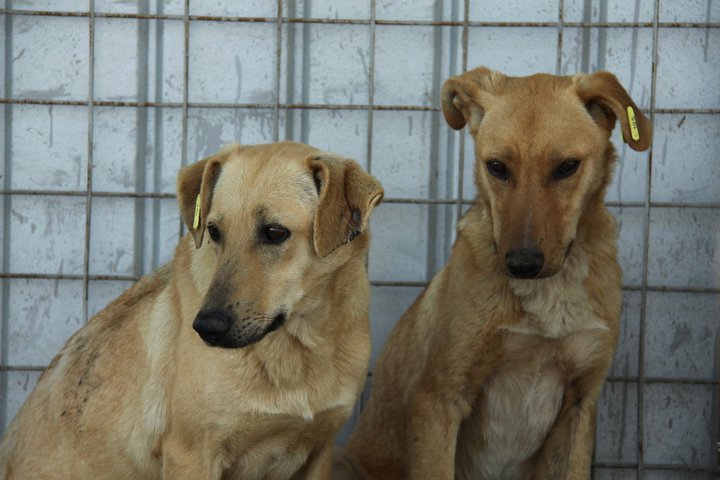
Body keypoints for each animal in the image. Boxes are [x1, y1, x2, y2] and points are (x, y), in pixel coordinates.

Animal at [0, 142, 383, 480]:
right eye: (214, 231)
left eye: (275, 232)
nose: (206, 327)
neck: (298, 345)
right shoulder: (191, 454)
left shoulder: (319, 451)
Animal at [336, 68, 651, 480]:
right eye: (497, 167)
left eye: (567, 166)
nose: (522, 264)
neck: (549, 296)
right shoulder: (439, 399)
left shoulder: (581, 402)